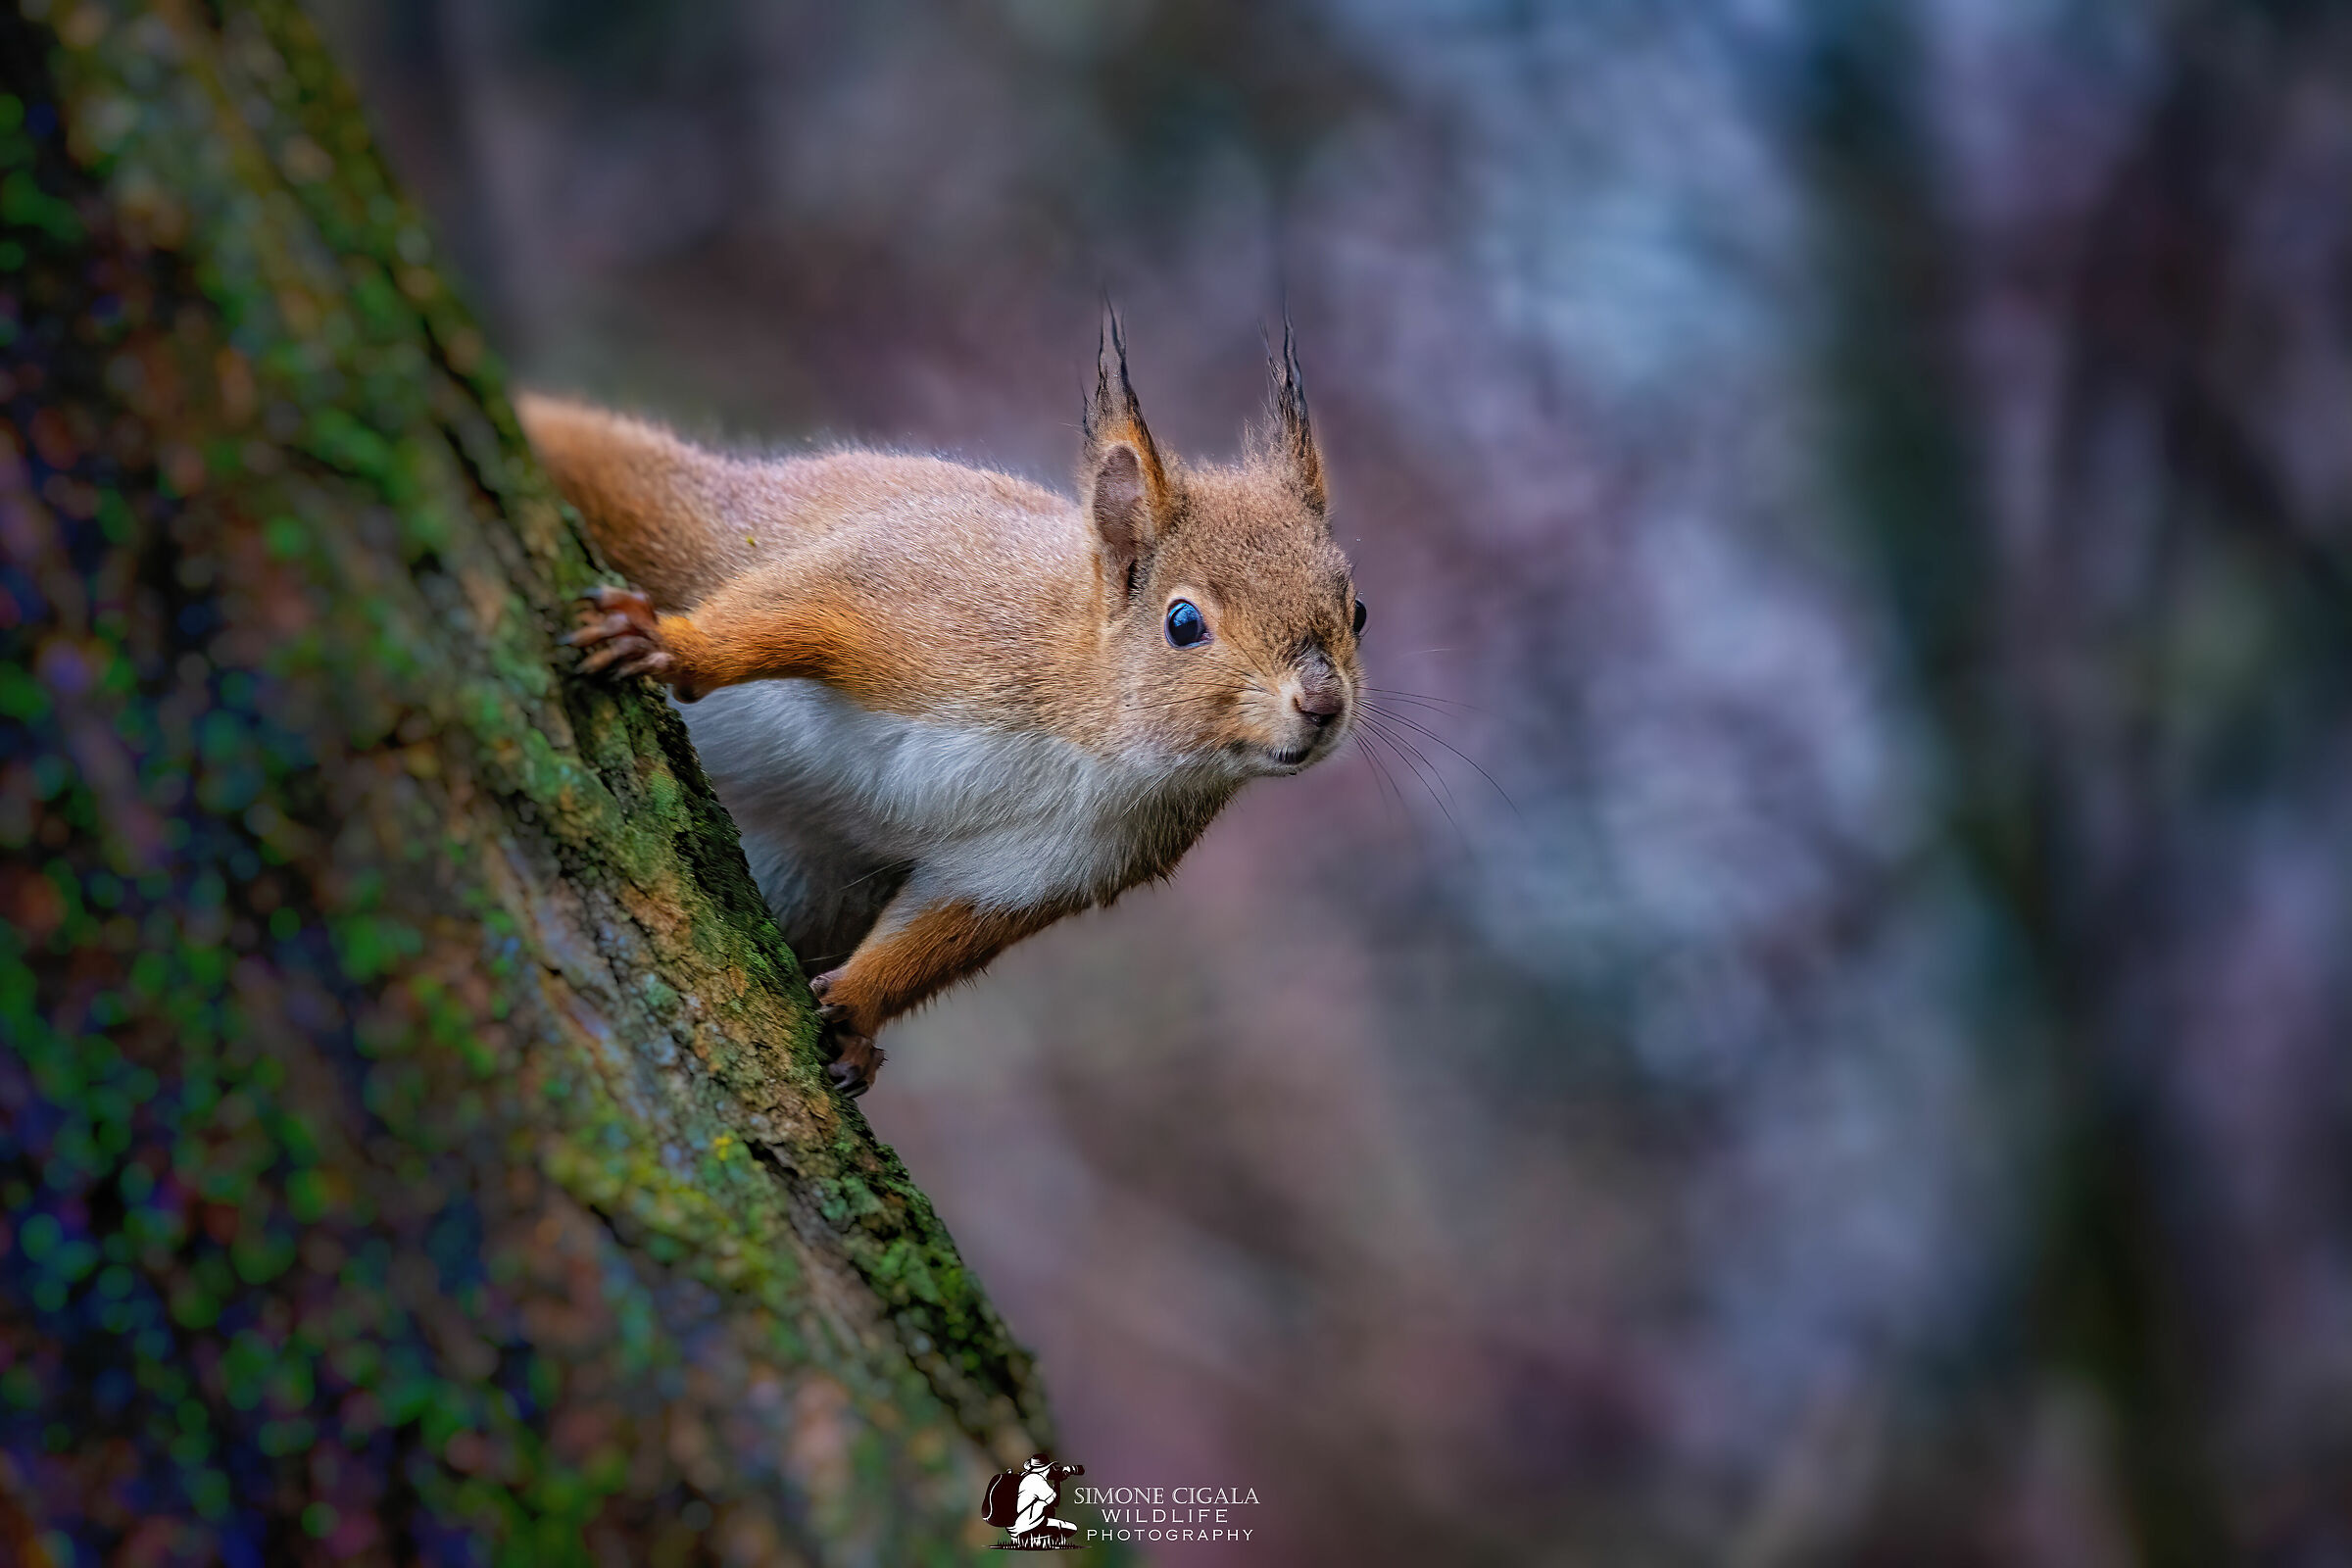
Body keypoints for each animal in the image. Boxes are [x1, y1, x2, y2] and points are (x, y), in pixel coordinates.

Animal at [517, 314, 1364, 1095]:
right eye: (1184, 623)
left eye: (1357, 612)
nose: (1323, 704)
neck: (1093, 743)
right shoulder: (918, 607)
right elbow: (800, 609)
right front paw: (672, 646)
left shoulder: (1054, 862)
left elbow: (939, 936)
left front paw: (856, 1018)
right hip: (679, 519)